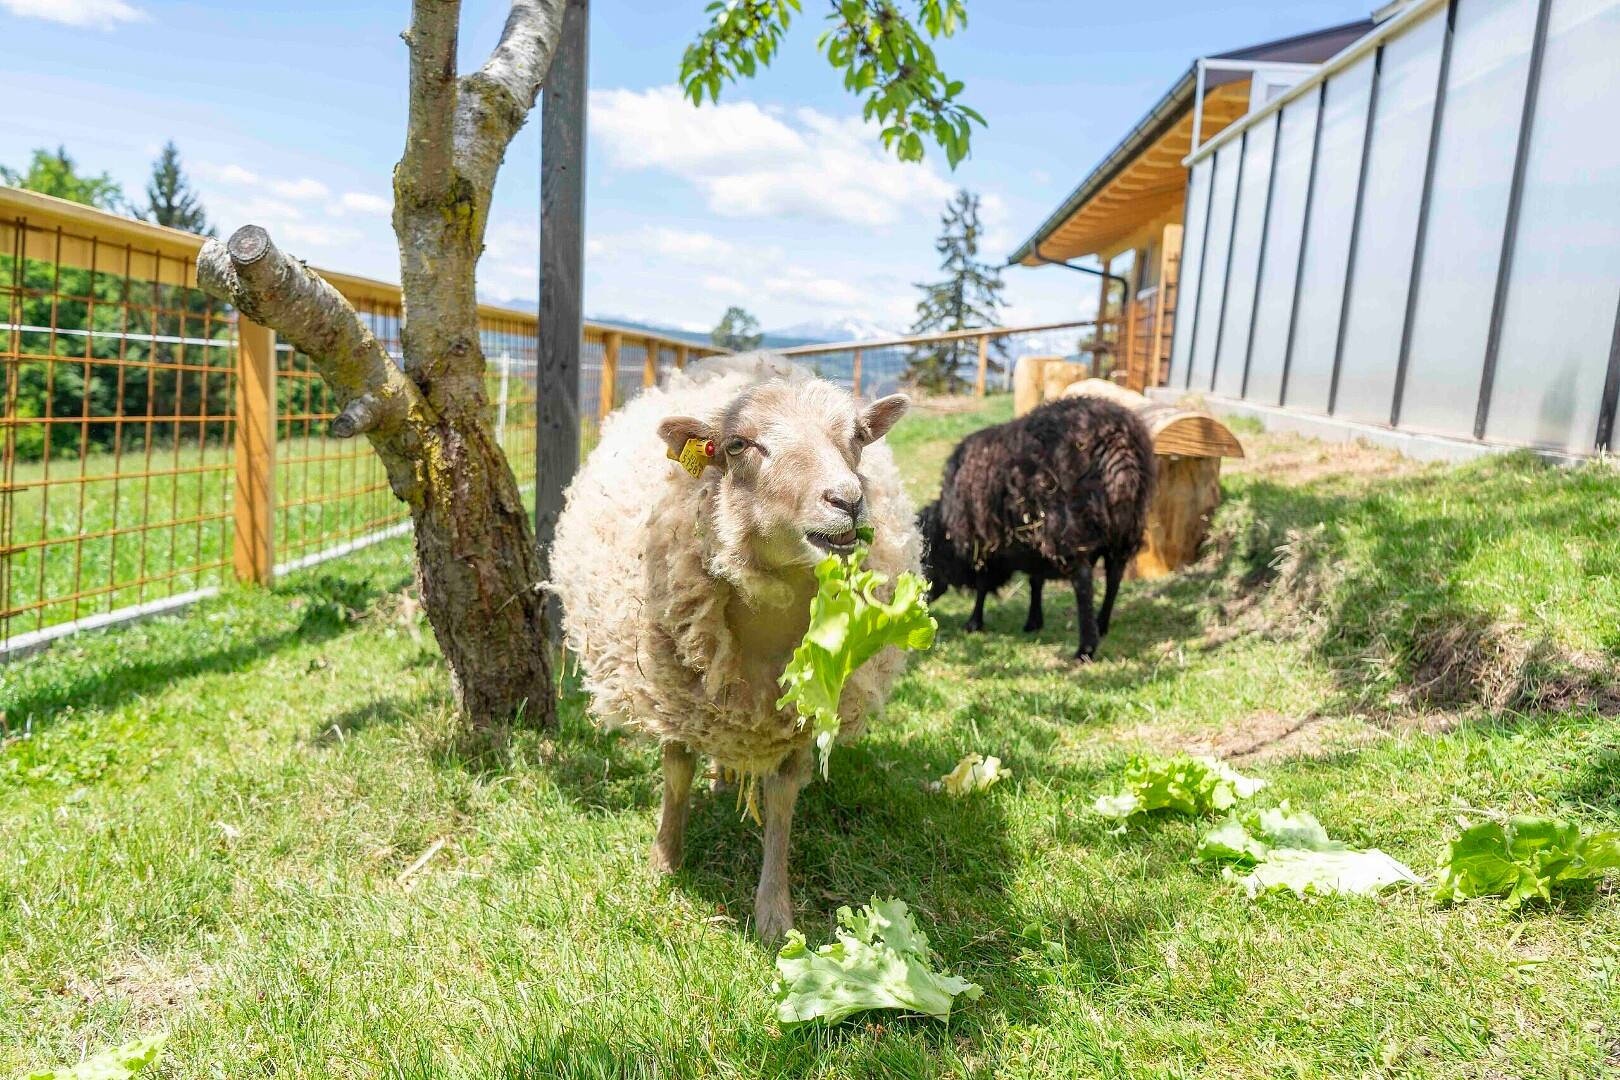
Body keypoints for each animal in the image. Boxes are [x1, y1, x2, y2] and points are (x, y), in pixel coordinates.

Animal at [549, 353, 920, 942]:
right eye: (740, 444)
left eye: (858, 438)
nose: (848, 500)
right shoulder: (673, 695)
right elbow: (676, 772)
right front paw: (664, 861)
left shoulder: (803, 717)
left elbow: (782, 799)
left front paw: (773, 910)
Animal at [918, 395, 1155, 660]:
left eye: (924, 558)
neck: (946, 527)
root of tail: (1117, 444)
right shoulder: (1032, 542)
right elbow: (1035, 581)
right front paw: (1033, 621)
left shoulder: (986, 543)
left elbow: (983, 586)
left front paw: (974, 622)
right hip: (1124, 529)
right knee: (1114, 577)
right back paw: (1101, 624)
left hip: (1068, 526)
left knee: (1083, 582)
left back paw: (1085, 647)